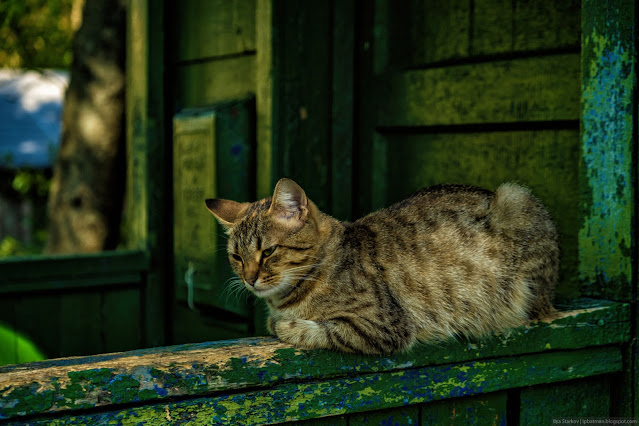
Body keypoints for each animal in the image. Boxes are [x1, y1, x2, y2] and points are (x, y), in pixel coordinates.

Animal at [206, 178, 560, 354]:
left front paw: (286, 326)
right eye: (237, 257)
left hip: (517, 200)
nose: (249, 279)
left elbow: (321, 331)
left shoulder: (384, 326)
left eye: (268, 252)